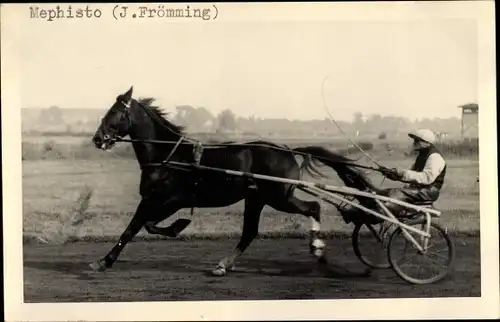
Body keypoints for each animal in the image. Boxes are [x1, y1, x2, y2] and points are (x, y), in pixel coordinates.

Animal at [91, 87, 378, 276]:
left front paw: (105, 261)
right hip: (258, 198)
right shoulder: (157, 200)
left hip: (279, 197)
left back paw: (317, 248)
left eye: (115, 112)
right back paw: (224, 264)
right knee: (250, 232)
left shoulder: (167, 200)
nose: (97, 139)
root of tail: (287, 150)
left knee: (313, 207)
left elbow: (137, 227)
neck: (168, 155)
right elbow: (141, 226)